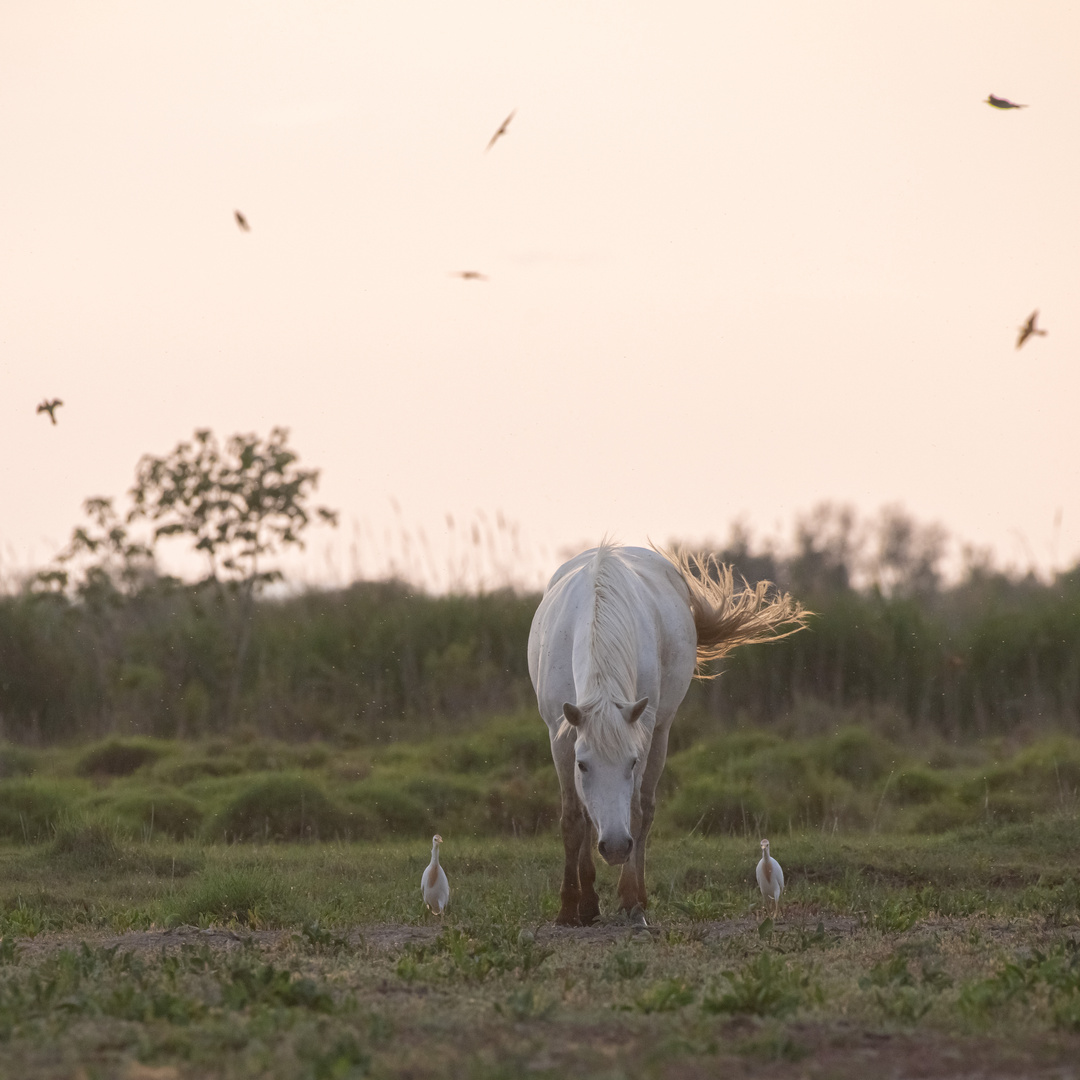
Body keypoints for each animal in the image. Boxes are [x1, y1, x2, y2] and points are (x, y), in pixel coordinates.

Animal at [527, 544, 807, 924]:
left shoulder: (642, 735)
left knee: (644, 811)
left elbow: (634, 811)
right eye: (583, 765)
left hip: (661, 732)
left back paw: (636, 898)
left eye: (631, 764)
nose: (615, 847)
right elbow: (573, 818)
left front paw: (630, 902)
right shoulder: (561, 736)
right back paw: (589, 904)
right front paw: (571, 908)